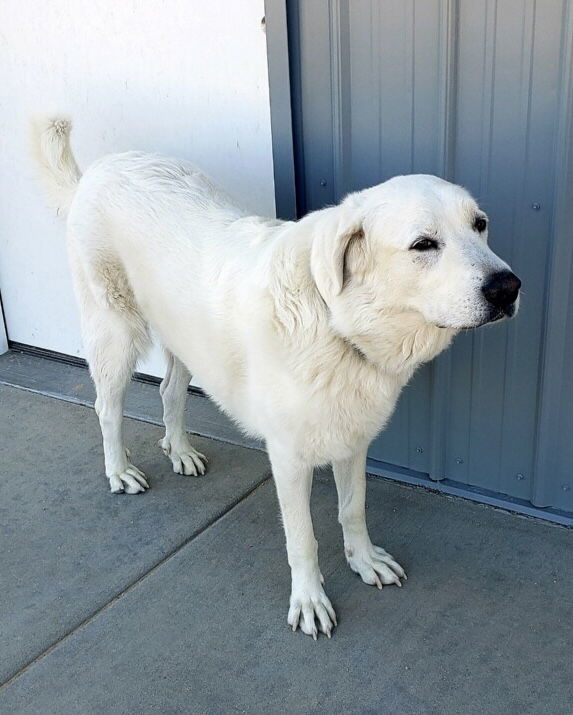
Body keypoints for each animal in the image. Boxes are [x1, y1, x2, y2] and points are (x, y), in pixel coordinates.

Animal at [33, 117, 520, 636]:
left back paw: (179, 449)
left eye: (480, 225)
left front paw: (364, 560)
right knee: (106, 408)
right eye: (423, 244)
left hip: (185, 340)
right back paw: (119, 470)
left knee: (169, 391)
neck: (337, 324)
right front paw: (308, 599)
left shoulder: (352, 438)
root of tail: (99, 170)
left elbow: (353, 508)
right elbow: (303, 538)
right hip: (115, 332)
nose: (509, 288)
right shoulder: (288, 457)